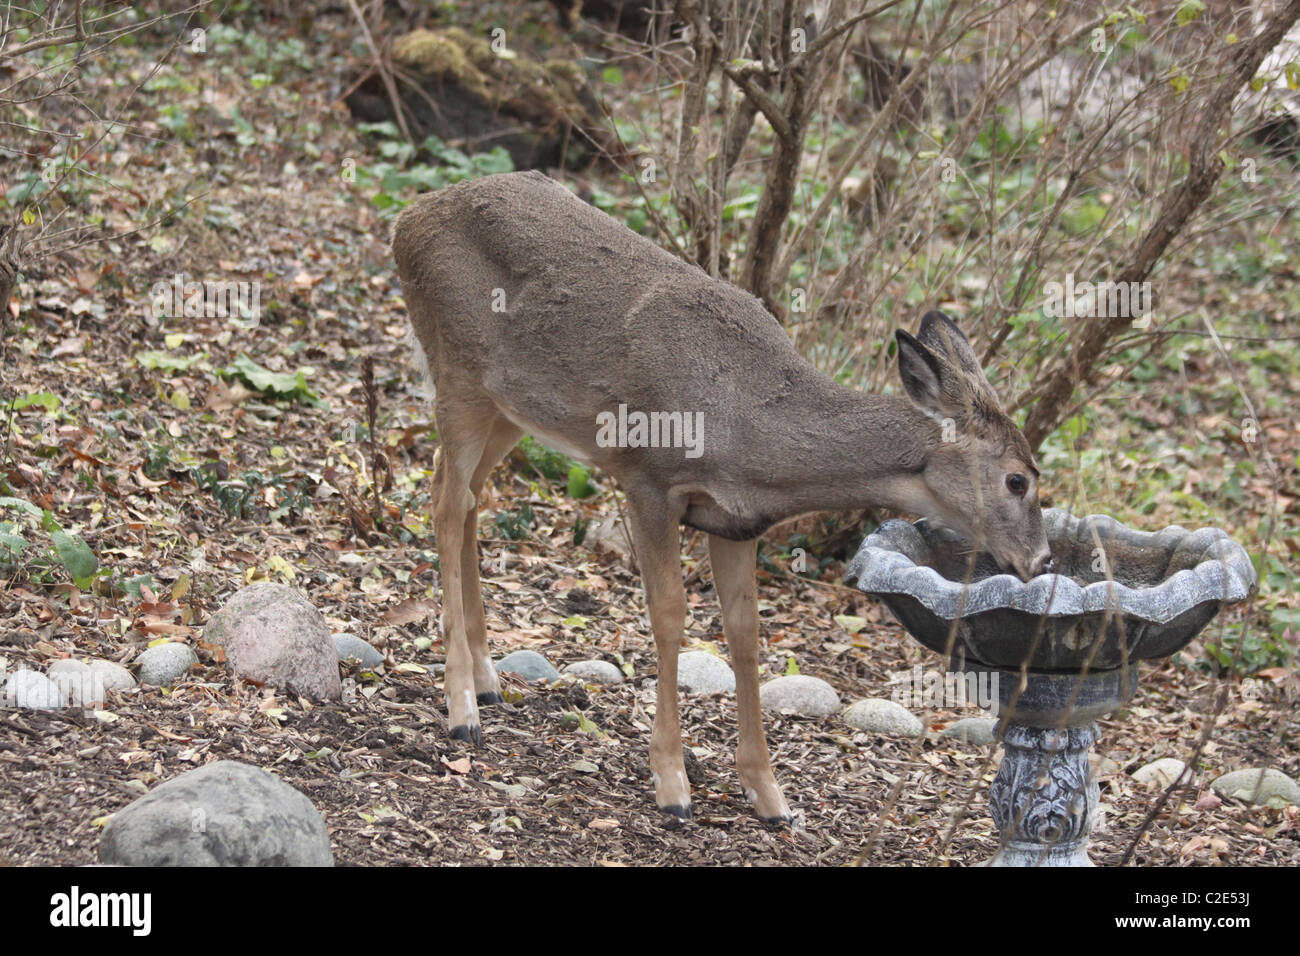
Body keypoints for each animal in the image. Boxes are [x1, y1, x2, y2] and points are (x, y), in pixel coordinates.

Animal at [390, 170, 1050, 822]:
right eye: (1019, 479)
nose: (1042, 560)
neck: (749, 428)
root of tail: (410, 215)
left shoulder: (735, 521)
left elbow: (744, 631)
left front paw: (769, 794)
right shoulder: (649, 480)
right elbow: (669, 615)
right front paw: (671, 782)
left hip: (510, 407)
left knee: (465, 494)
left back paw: (487, 681)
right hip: (456, 368)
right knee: (445, 501)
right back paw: (461, 708)